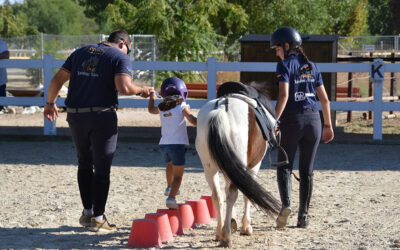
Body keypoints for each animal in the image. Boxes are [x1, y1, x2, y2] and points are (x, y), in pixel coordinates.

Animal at [196, 82, 282, 248]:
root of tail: (221, 109)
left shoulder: (229, 167)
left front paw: (232, 221)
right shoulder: (252, 166)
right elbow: (247, 192)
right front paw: (245, 227)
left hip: (209, 168)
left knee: (217, 195)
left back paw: (219, 232)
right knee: (232, 195)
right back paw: (226, 237)